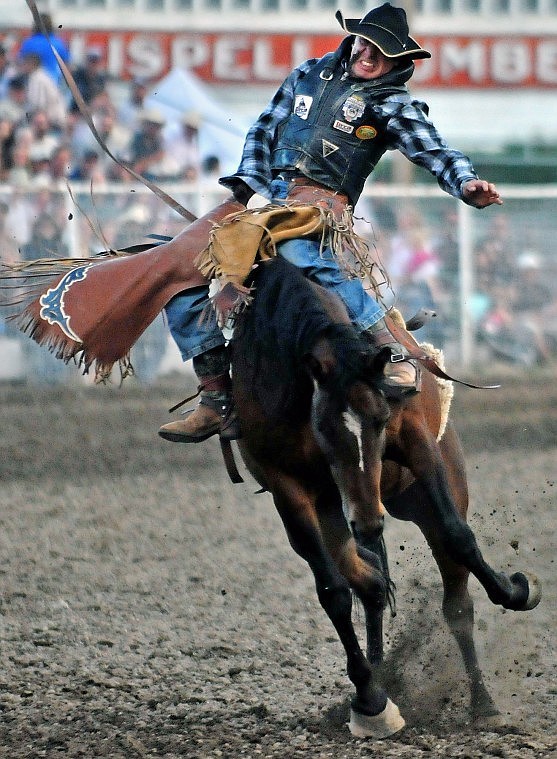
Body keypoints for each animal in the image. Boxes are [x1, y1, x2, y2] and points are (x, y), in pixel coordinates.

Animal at [228, 258, 540, 740]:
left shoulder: (415, 440)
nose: (369, 519)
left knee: (456, 601)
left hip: (425, 490)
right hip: (337, 511)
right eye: (324, 428)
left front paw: (516, 589)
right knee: (368, 578)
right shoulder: (288, 488)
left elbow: (459, 536)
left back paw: (483, 703)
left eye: (379, 418)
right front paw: (372, 701)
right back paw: (378, 680)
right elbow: (334, 591)